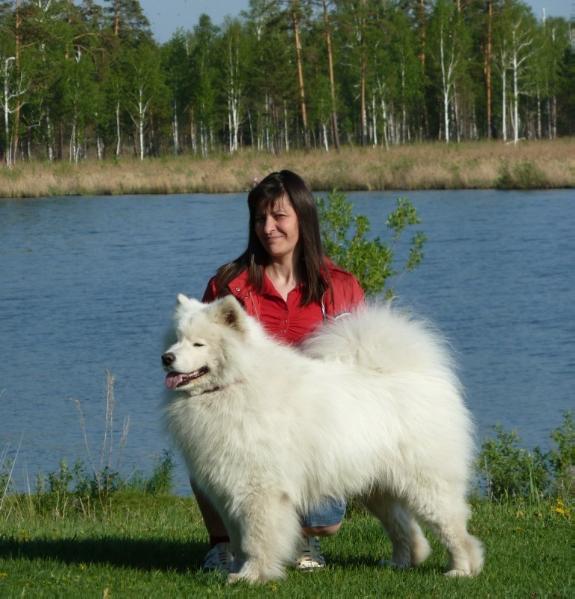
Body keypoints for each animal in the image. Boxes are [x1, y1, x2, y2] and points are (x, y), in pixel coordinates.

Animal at [163, 296, 486, 584]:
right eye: (176, 340)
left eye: (198, 344)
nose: (166, 358)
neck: (234, 384)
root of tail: (423, 375)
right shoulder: (228, 489)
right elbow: (240, 541)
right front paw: (238, 571)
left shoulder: (259, 492)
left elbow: (256, 539)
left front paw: (251, 577)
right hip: (379, 489)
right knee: (405, 527)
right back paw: (401, 562)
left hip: (427, 487)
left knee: (455, 530)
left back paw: (462, 570)